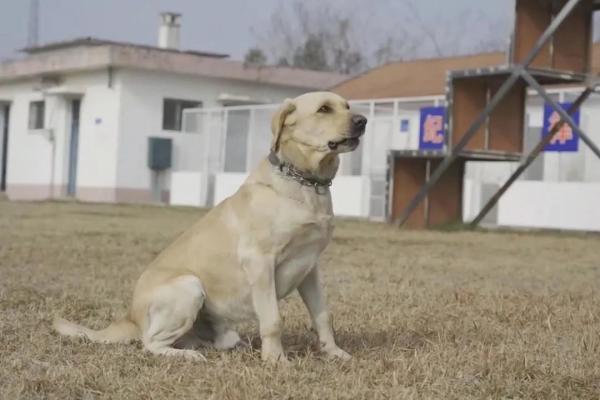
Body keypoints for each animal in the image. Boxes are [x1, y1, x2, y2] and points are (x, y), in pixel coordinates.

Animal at [55, 91, 366, 362]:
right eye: (324, 109)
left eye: (347, 106)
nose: (362, 121)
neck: (305, 184)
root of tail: (130, 316)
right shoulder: (260, 262)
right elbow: (273, 319)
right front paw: (276, 359)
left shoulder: (310, 267)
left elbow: (323, 315)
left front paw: (334, 353)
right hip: (189, 286)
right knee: (150, 342)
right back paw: (187, 356)